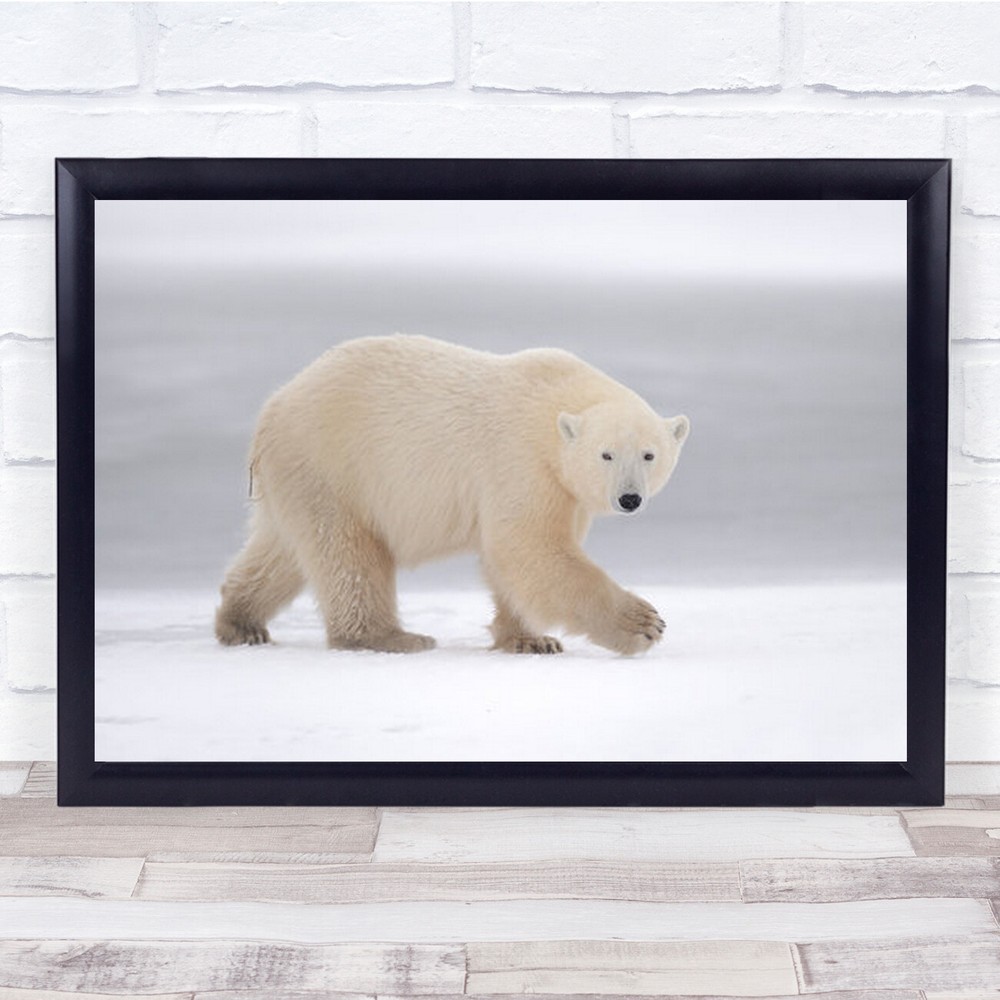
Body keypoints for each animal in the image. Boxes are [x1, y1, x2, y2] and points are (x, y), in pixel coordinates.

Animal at [215, 334, 689, 656]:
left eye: (649, 454)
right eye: (606, 454)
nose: (629, 499)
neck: (553, 403)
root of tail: (272, 409)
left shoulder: (563, 488)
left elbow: (517, 559)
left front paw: (530, 639)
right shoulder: (520, 461)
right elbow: (528, 546)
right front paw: (643, 623)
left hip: (300, 477)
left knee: (281, 552)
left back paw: (241, 622)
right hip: (334, 464)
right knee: (349, 556)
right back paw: (392, 636)